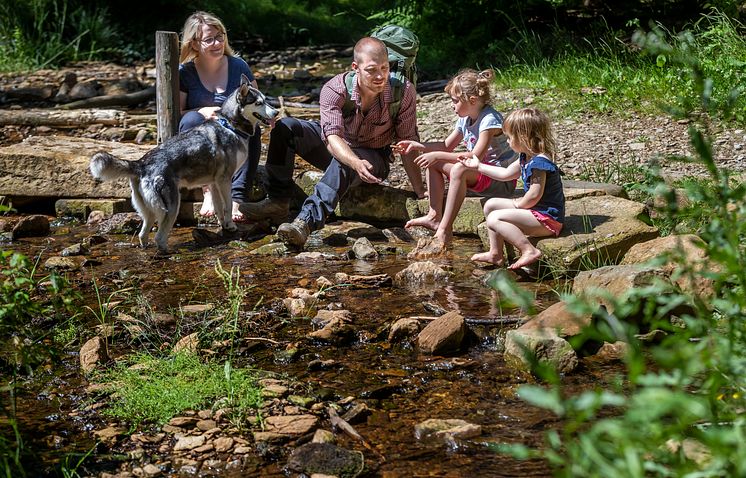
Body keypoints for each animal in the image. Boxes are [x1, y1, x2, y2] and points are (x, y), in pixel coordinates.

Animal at [90, 75, 276, 250]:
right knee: (159, 237)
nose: (276, 113)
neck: (229, 125)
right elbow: (228, 206)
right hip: (171, 207)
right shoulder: (224, 180)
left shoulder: (214, 183)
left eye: (265, 99)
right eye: (259, 103)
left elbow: (218, 208)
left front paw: (223, 225)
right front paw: (230, 226)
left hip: (149, 212)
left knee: (143, 235)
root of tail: (141, 163)